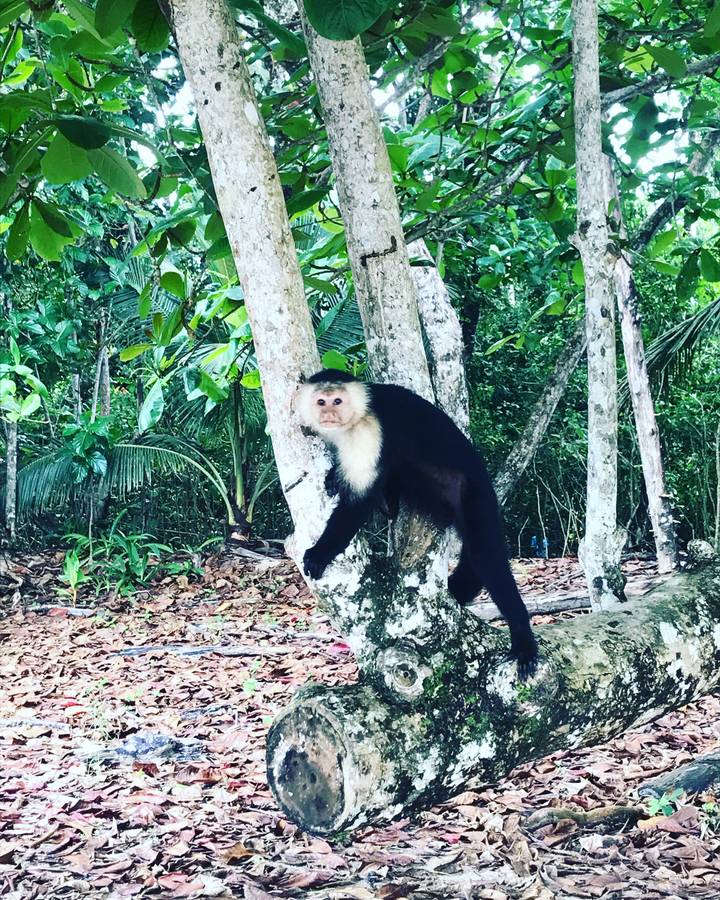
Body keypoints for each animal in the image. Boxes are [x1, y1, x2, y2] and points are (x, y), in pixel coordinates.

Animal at [296, 369, 538, 677]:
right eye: (321, 401)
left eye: (337, 400)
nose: (328, 412)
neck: (357, 416)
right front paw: (334, 478)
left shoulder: (368, 432)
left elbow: (357, 503)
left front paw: (320, 552)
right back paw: (387, 503)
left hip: (473, 497)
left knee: (488, 560)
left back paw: (523, 639)